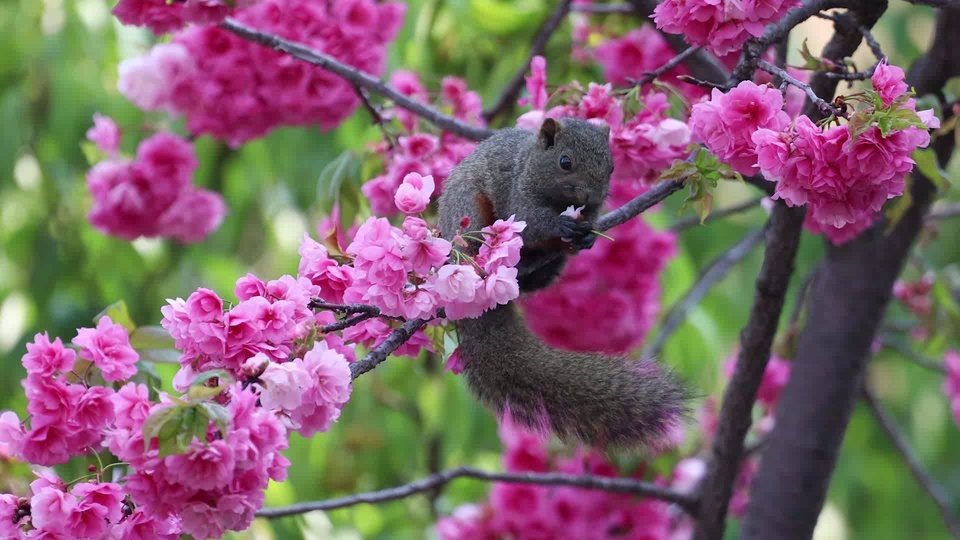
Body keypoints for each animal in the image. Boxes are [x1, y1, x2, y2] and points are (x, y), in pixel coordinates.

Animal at [438, 117, 688, 448]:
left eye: (611, 167)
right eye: (565, 162)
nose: (591, 197)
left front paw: (587, 237)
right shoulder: (518, 194)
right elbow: (531, 222)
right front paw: (559, 224)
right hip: (466, 210)